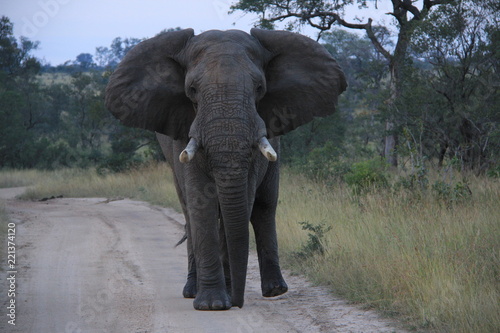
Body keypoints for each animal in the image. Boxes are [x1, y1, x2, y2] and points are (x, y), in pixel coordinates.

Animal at [104, 27, 348, 310]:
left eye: (259, 88)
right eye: (192, 89)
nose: (238, 302)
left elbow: (243, 200)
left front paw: (225, 297)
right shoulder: (183, 132)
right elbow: (200, 202)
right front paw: (212, 304)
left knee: (265, 206)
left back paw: (274, 290)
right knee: (189, 210)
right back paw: (192, 291)